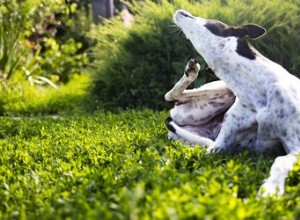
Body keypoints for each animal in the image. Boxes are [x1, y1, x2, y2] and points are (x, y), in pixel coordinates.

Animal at [165, 9, 298, 196]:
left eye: (210, 20)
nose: (180, 11)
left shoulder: (296, 147)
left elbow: (279, 161)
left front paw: (271, 188)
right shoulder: (218, 147)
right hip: (216, 96)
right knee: (171, 96)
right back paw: (190, 73)